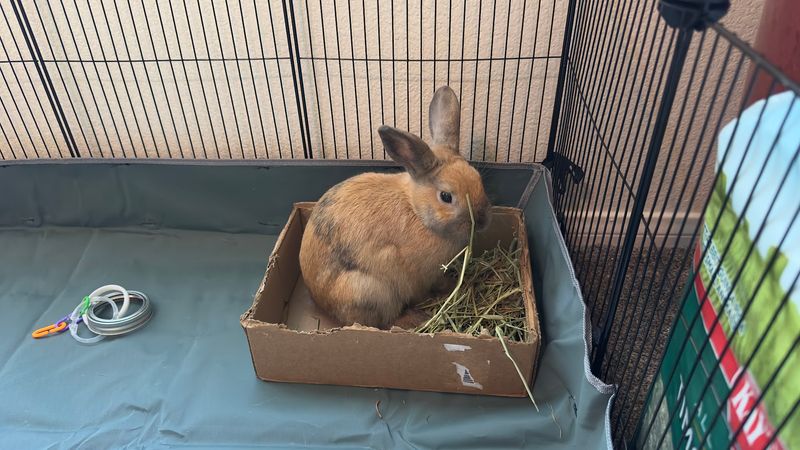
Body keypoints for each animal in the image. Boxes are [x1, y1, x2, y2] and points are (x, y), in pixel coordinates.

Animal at [299, 86, 491, 330]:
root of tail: (320, 301)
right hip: (370, 293)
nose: (483, 221)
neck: (417, 211)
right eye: (446, 196)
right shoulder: (421, 276)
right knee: (383, 321)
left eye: (478, 179)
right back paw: (415, 318)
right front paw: (447, 288)